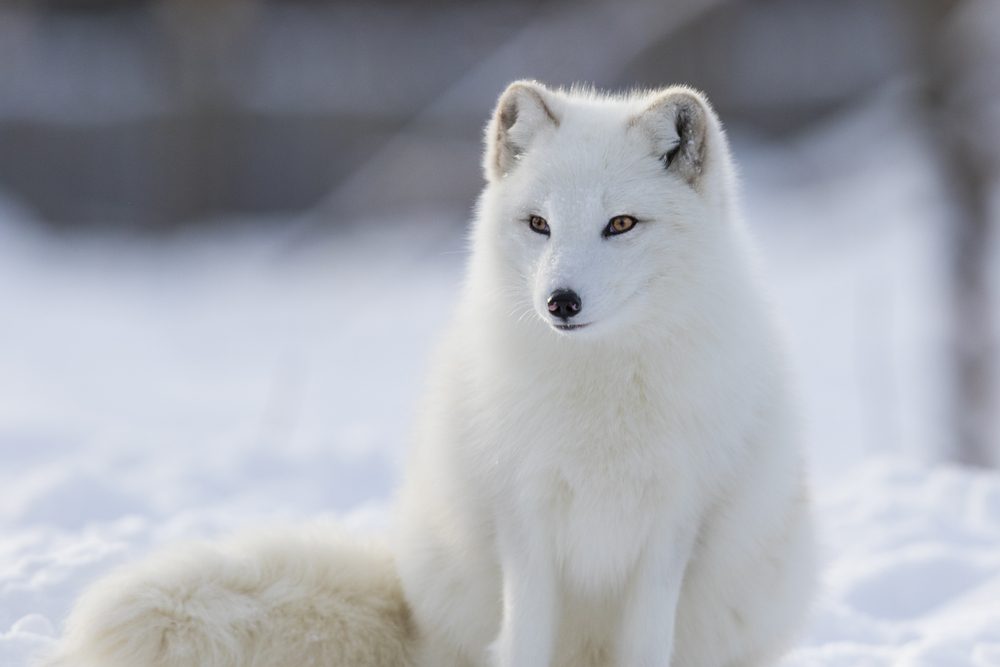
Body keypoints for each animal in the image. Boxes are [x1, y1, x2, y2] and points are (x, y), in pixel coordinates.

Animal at [45, 83, 812, 667]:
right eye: (539, 224)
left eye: (621, 223)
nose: (560, 302)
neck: (597, 397)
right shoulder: (522, 517)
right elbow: (524, 642)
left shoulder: (672, 523)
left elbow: (647, 645)